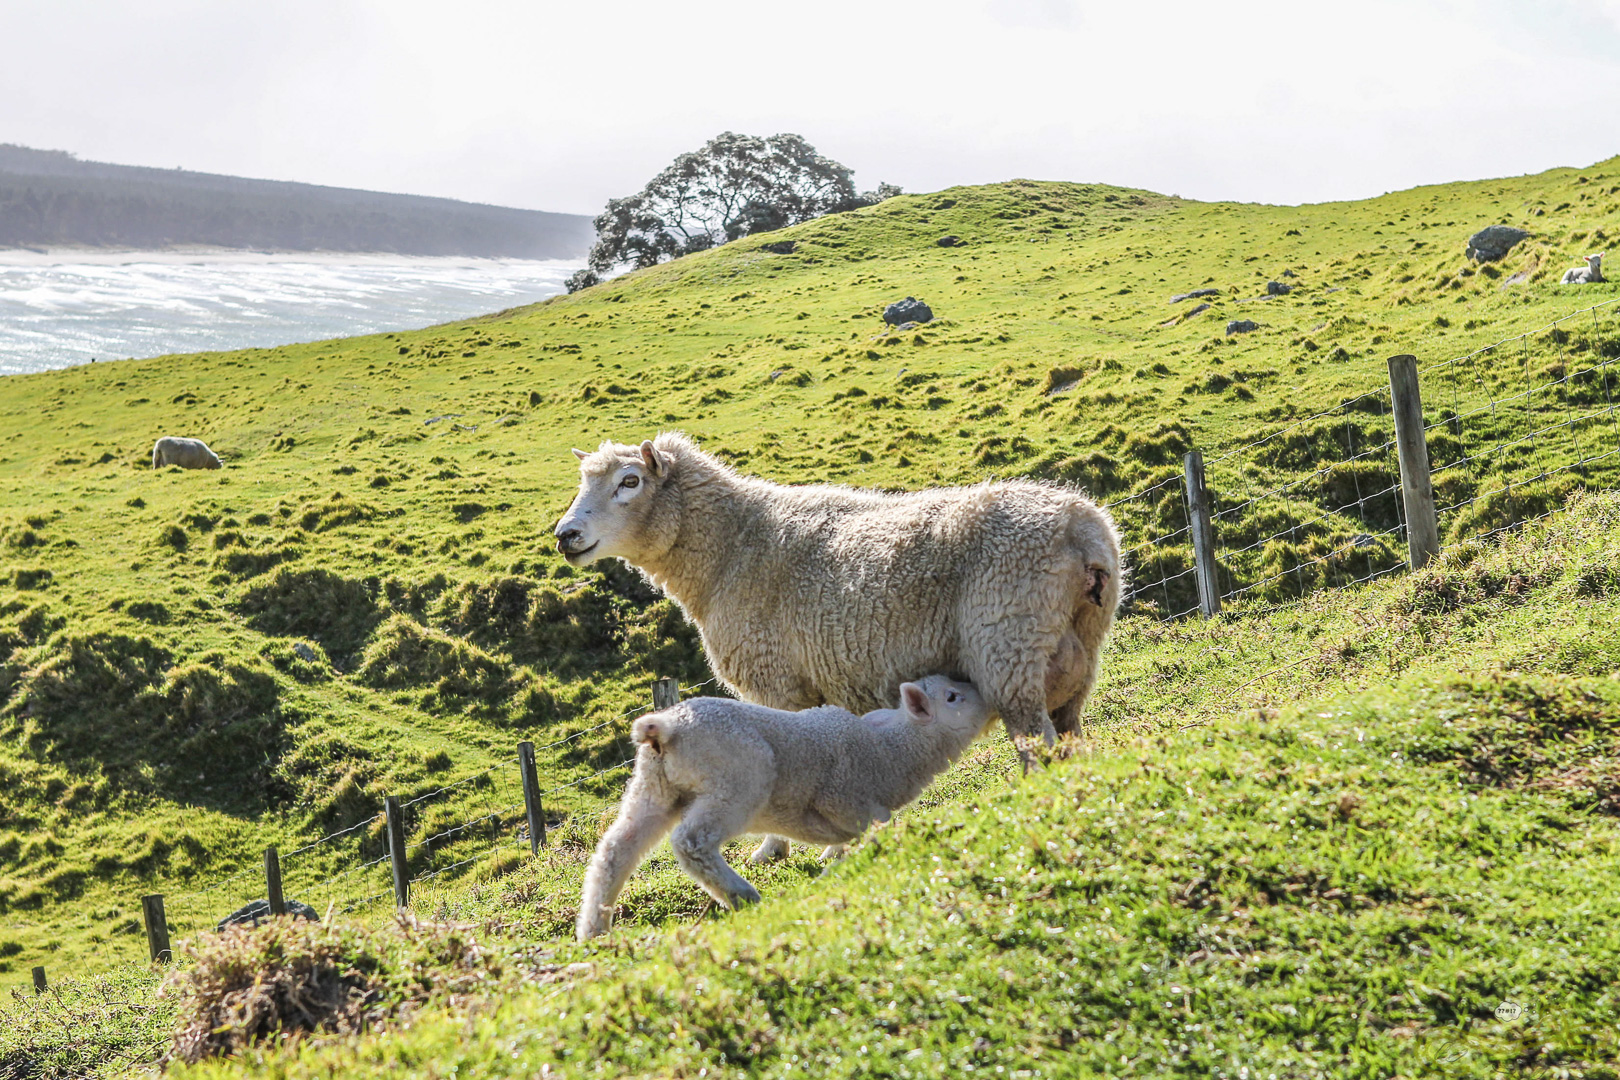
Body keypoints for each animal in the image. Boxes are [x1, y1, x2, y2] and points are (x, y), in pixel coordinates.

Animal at [576, 676, 991, 939]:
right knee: (691, 841)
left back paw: (594, 927)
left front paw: (833, 856)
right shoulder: (843, 795)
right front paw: (839, 866)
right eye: (953, 697)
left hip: (654, 786)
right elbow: (873, 828)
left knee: (616, 849)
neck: (891, 750)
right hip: (737, 778)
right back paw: (741, 895)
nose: (982, 691)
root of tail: (664, 726)